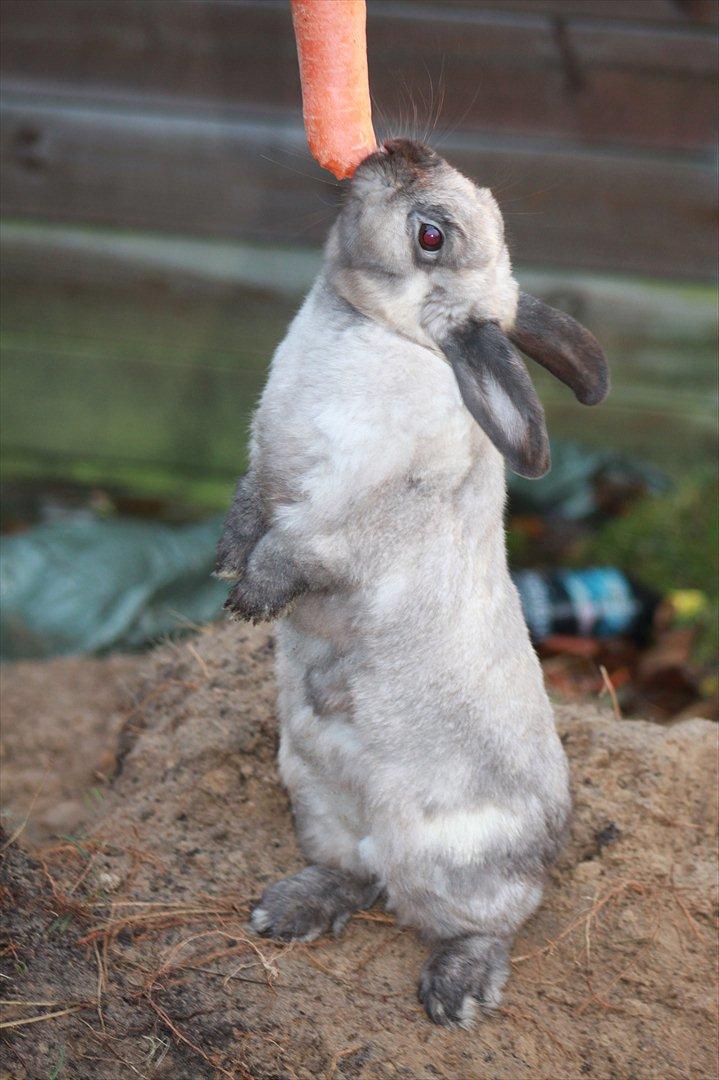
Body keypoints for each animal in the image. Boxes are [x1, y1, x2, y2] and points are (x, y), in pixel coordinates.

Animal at [215, 139, 608, 1023]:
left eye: (432, 236)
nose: (398, 149)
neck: (381, 333)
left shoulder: (340, 518)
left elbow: (293, 553)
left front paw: (250, 598)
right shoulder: (262, 471)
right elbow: (248, 509)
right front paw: (223, 565)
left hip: (449, 864)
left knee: (487, 920)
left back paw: (453, 990)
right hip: (317, 800)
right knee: (356, 874)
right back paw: (288, 908)